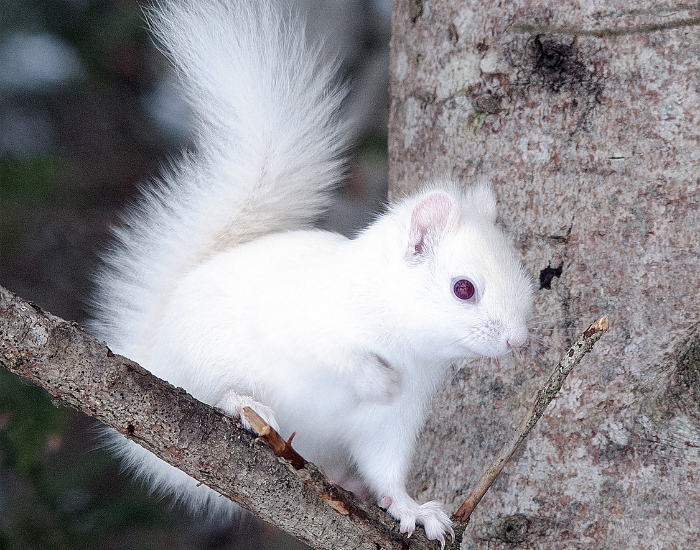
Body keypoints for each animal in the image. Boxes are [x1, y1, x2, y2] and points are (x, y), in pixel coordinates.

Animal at [88, 0, 534, 545]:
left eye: (524, 275)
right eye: (463, 288)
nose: (517, 340)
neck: (404, 339)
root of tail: (154, 353)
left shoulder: (393, 422)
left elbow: (388, 470)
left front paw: (413, 509)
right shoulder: (304, 321)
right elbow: (331, 353)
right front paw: (376, 378)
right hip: (199, 364)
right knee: (208, 392)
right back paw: (242, 403)